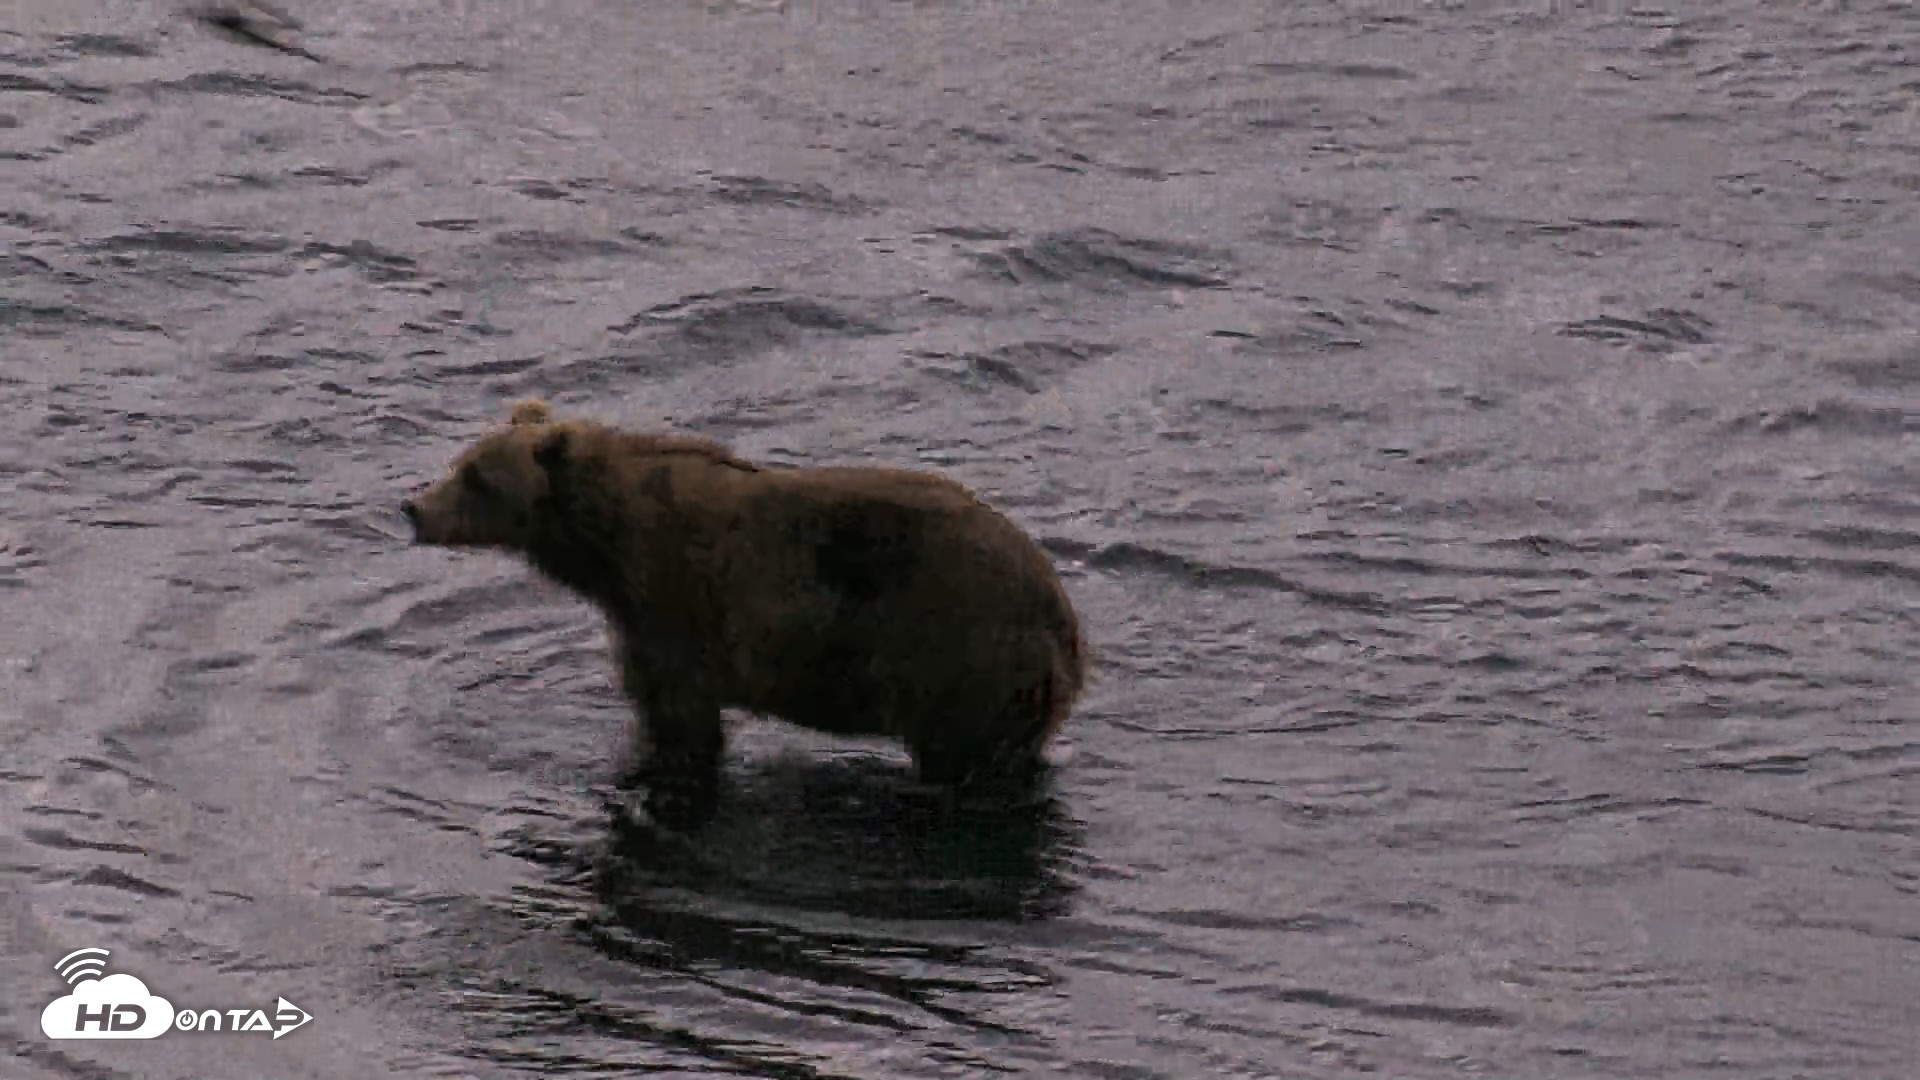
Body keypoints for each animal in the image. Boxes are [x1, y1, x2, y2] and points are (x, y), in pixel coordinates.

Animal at [401, 399, 1088, 809]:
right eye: (457, 462)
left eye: (477, 476)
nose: (413, 508)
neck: (607, 547)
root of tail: (1066, 623)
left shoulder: (676, 604)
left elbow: (682, 721)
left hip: (959, 655)